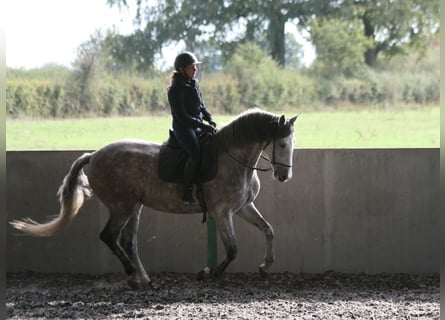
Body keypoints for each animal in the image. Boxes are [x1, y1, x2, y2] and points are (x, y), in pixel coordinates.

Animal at [11, 109, 298, 288]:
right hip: (122, 206)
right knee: (110, 237)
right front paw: (208, 273)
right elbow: (233, 249)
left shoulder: (242, 207)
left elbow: (268, 229)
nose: (284, 176)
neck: (233, 159)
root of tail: (93, 155)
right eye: (283, 144)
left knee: (128, 242)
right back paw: (132, 275)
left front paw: (265, 266)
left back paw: (142, 279)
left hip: (133, 207)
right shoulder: (221, 212)